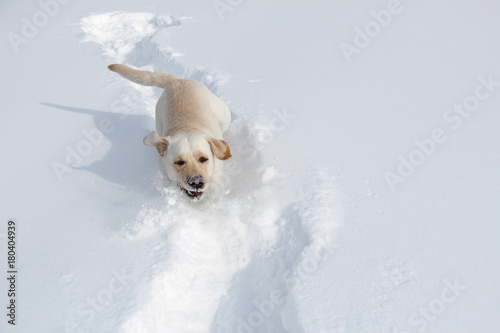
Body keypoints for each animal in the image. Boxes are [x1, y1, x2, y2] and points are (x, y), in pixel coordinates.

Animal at [108, 63, 231, 198]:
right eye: (179, 162)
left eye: (203, 159)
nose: (196, 182)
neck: (186, 127)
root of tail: (176, 80)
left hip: (224, 117)